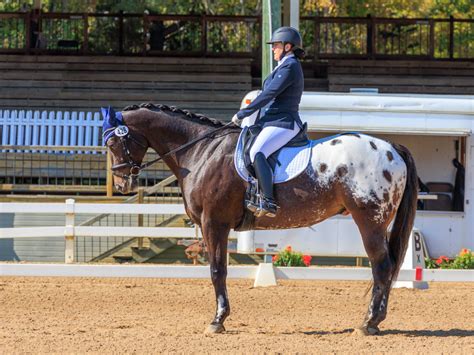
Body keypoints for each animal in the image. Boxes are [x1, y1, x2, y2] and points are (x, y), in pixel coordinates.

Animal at [103, 103, 418, 336]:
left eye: (114, 142)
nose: (121, 184)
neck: (202, 152)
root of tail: (391, 147)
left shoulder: (213, 223)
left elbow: (217, 271)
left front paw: (218, 320)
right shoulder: (215, 225)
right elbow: (218, 270)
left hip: (369, 221)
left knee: (381, 265)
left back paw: (369, 323)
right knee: (387, 266)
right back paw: (375, 320)